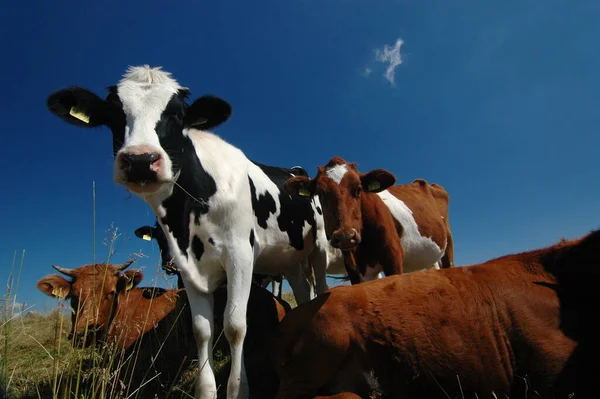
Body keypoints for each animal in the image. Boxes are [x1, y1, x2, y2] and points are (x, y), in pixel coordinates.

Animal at [284, 156, 452, 284]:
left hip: (448, 244)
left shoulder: (393, 256)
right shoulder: (353, 267)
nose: (345, 236)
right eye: (320, 193)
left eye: (358, 189)